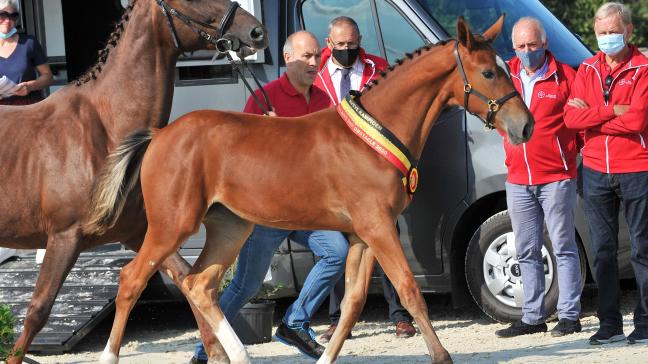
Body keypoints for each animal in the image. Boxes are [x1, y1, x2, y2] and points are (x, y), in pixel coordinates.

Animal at [0, 1, 266, 362]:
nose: (256, 32)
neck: (105, 127)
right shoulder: (64, 238)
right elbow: (37, 311)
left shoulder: (140, 232)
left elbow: (184, 280)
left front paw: (218, 353)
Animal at [85, 14, 532, 364]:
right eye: (489, 73)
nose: (524, 126)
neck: (374, 134)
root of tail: (159, 135)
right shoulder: (377, 228)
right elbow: (409, 290)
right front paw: (442, 356)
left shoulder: (363, 235)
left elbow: (352, 303)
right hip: (171, 226)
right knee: (132, 280)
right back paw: (111, 356)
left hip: (230, 227)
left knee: (200, 285)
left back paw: (236, 355)